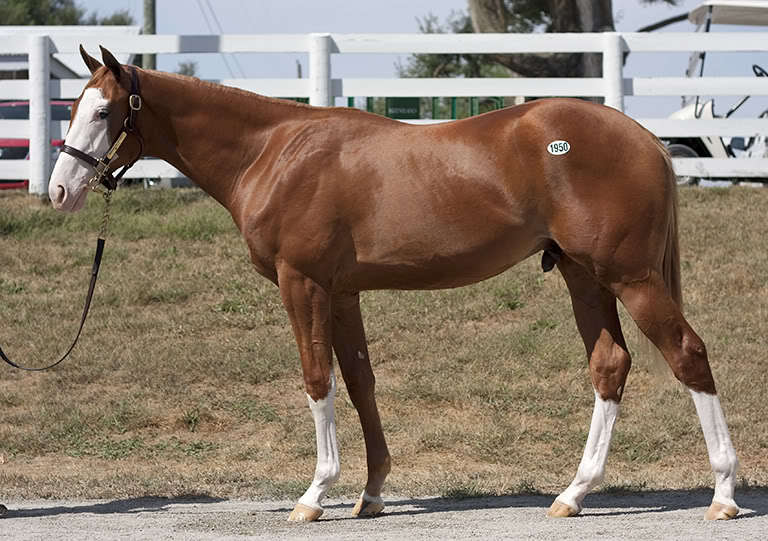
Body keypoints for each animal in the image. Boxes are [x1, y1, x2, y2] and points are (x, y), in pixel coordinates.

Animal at [47, 45, 740, 522]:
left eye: (104, 111)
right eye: (74, 108)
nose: (59, 190)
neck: (273, 152)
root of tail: (647, 138)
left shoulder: (303, 284)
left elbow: (317, 378)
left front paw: (314, 493)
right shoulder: (342, 291)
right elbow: (358, 383)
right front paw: (372, 491)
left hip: (629, 276)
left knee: (688, 354)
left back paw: (724, 492)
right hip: (583, 276)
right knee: (610, 363)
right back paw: (573, 493)